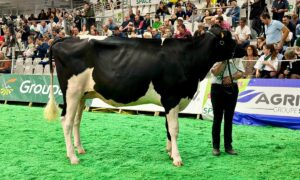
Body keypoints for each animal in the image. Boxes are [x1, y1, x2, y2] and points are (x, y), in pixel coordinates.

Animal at [45, 25, 246, 166]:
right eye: (228, 39)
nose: (245, 48)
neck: (188, 59)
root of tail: (63, 39)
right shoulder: (172, 98)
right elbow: (174, 129)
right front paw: (177, 158)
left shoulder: (169, 101)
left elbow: (168, 128)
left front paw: (169, 152)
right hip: (71, 92)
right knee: (67, 121)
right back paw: (73, 157)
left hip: (82, 94)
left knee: (76, 121)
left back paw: (79, 149)